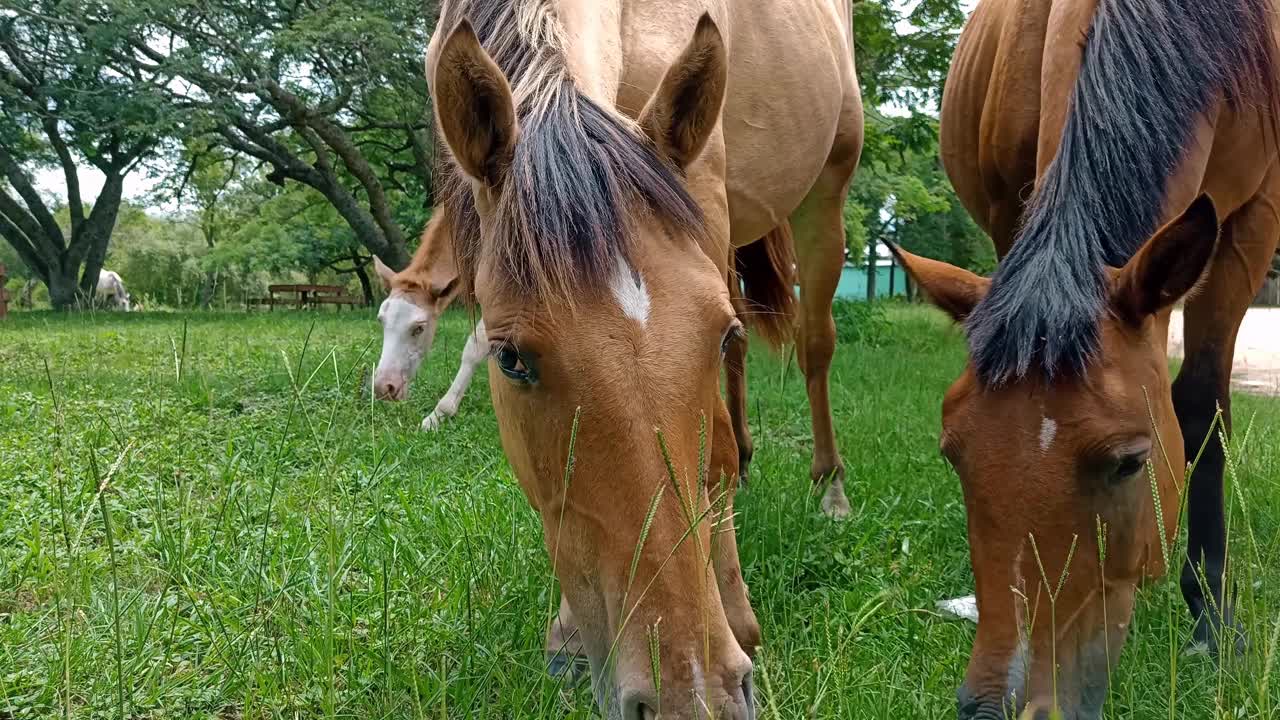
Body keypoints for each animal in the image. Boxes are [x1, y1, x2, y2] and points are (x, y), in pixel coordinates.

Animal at [427, 2, 860, 712]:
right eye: (509, 358)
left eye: (710, 335)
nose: (693, 697)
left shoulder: (705, 192)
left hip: (824, 196)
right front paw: (569, 636)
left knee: (814, 348)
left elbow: (710, 447)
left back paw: (830, 489)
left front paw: (737, 622)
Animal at [901, 1, 1280, 717]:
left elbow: (1202, 410)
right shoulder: (1012, 209)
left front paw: (1214, 621)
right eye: (952, 454)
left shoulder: (1254, 222)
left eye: (1129, 463)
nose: (1000, 707)